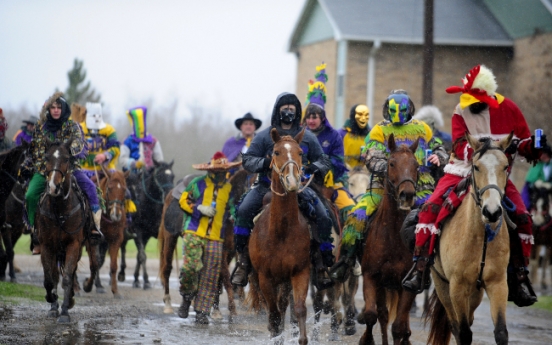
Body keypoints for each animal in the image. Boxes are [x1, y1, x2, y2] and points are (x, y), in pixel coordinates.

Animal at [37, 138, 99, 322]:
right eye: (47, 157)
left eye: (66, 158)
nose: (53, 186)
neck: (60, 209)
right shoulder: (47, 245)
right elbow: (50, 279)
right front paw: (52, 302)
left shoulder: (74, 244)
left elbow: (67, 278)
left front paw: (64, 311)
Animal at [94, 167, 131, 296]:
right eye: (109, 188)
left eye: (124, 189)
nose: (116, 214)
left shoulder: (116, 239)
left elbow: (113, 265)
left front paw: (115, 290)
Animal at [249, 127, 310, 342]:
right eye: (276, 152)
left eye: (300, 152)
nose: (292, 181)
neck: (281, 231)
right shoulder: (265, 277)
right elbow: (274, 317)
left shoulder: (299, 272)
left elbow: (299, 309)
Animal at [358, 134, 418, 344]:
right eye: (391, 163)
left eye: (416, 165)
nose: (407, 195)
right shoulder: (371, 276)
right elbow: (371, 315)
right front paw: (365, 339)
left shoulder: (406, 284)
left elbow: (399, 327)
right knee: (383, 315)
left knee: (402, 324)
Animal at [424, 134, 512, 344]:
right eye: (476, 167)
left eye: (505, 166)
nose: (492, 212)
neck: (482, 237)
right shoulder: (457, 286)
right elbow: (463, 332)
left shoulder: (498, 283)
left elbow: (501, 331)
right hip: (442, 285)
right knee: (455, 325)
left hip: (475, 292)